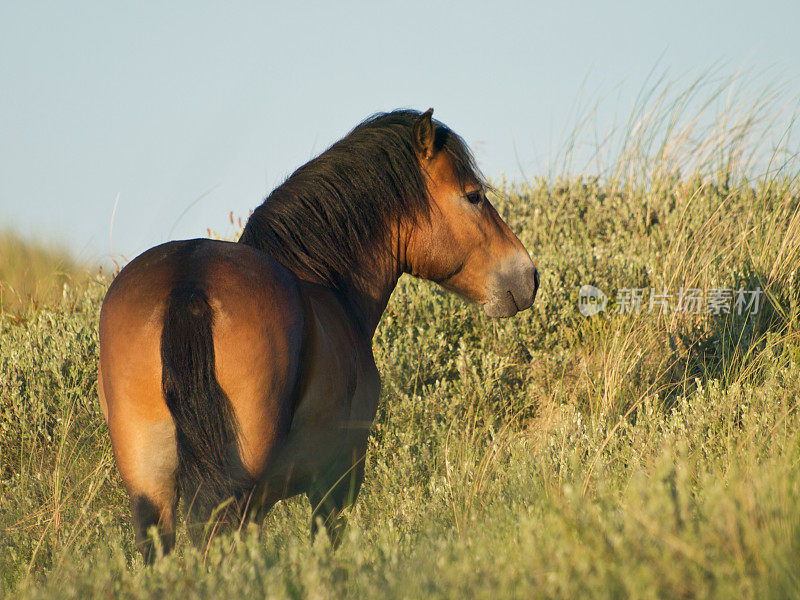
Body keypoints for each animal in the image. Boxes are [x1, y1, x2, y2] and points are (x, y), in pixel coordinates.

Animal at [98, 109, 536, 564]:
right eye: (473, 196)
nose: (528, 276)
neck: (327, 285)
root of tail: (189, 281)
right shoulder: (338, 474)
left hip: (152, 488)